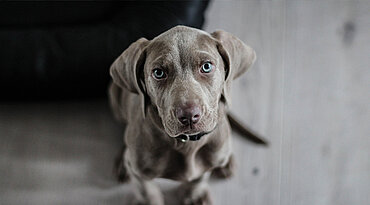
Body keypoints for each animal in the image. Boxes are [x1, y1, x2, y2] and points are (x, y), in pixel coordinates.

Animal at [109, 26, 260, 205]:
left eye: (206, 66)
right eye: (158, 73)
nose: (189, 116)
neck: (186, 144)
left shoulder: (206, 162)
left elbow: (199, 177)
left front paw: (195, 196)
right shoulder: (139, 172)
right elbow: (146, 190)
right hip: (114, 95)